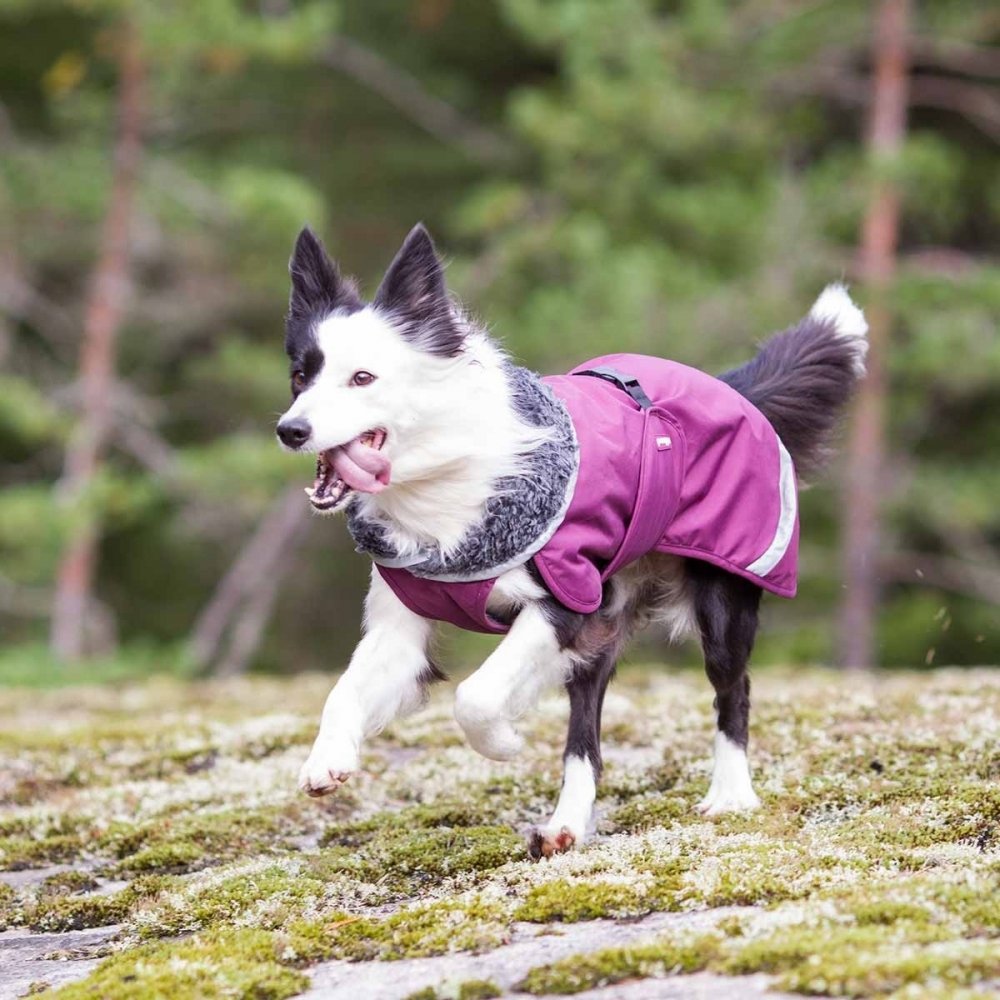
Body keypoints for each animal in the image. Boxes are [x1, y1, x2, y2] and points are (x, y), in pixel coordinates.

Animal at [276, 223, 868, 856]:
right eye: (300, 377)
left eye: (362, 378)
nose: (290, 430)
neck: (442, 482)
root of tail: (733, 389)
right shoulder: (403, 624)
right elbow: (344, 689)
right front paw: (326, 759)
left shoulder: (567, 602)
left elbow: (476, 696)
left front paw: (503, 743)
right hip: (612, 617)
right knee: (585, 733)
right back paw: (567, 825)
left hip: (721, 597)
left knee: (732, 690)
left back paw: (730, 795)